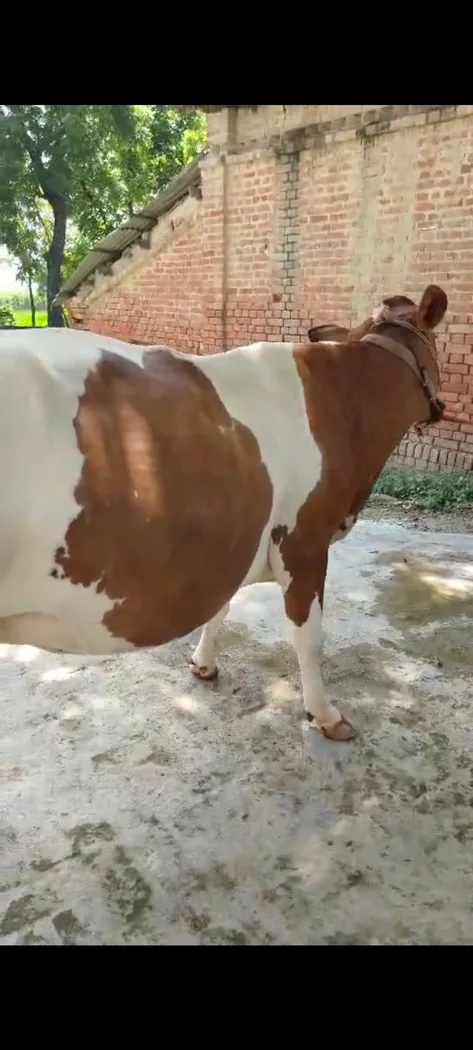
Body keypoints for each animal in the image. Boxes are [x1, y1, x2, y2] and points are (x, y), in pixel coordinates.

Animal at [0, 284, 446, 742]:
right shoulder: (304, 541)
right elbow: (309, 636)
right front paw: (325, 715)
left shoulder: (231, 542)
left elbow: (220, 608)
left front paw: (203, 664)